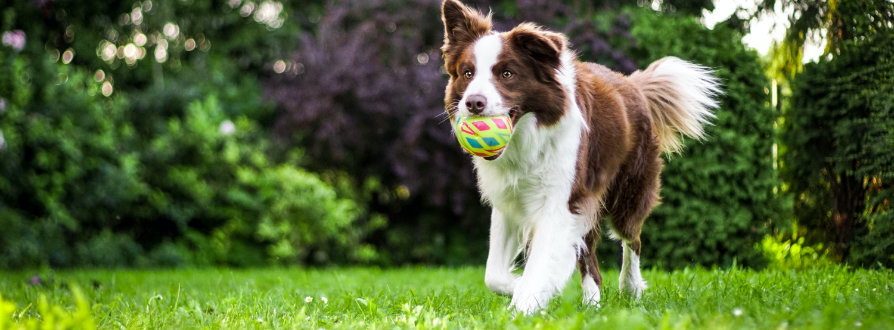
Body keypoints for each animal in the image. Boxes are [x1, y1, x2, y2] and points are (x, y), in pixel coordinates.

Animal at [442, 0, 728, 314]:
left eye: (507, 74)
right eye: (467, 73)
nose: (473, 103)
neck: (526, 139)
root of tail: (634, 84)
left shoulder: (561, 200)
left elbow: (540, 262)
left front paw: (524, 305)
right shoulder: (510, 200)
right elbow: (492, 275)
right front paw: (523, 289)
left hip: (628, 191)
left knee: (632, 238)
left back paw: (630, 287)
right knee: (590, 254)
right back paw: (592, 303)